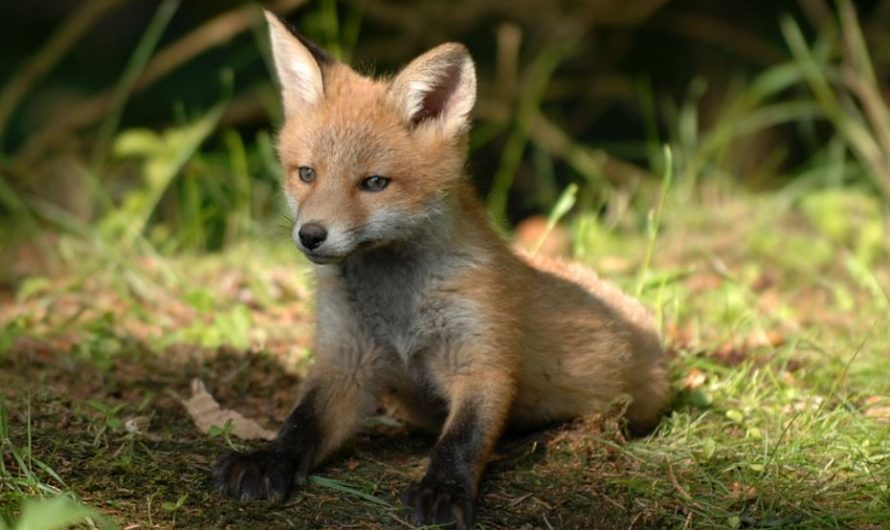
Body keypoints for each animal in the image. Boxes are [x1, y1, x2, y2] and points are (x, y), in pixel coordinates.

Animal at [213, 11, 669, 529]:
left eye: (374, 183)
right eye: (306, 174)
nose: (310, 235)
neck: (398, 304)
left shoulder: (481, 358)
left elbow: (462, 439)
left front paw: (443, 490)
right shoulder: (345, 360)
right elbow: (300, 423)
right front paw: (267, 460)